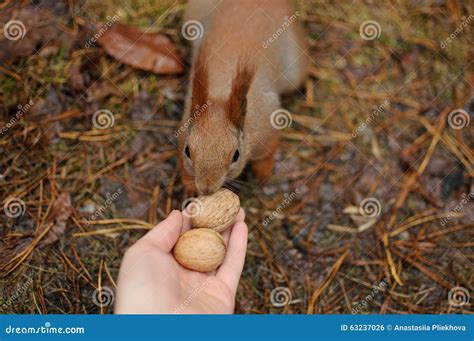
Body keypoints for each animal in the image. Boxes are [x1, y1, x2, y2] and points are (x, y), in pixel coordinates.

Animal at [178, 0, 308, 194]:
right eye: (187, 151)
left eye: (236, 155)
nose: (207, 188)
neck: (221, 93)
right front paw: (190, 187)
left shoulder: (267, 124)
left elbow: (269, 150)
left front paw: (262, 172)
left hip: (295, 68)